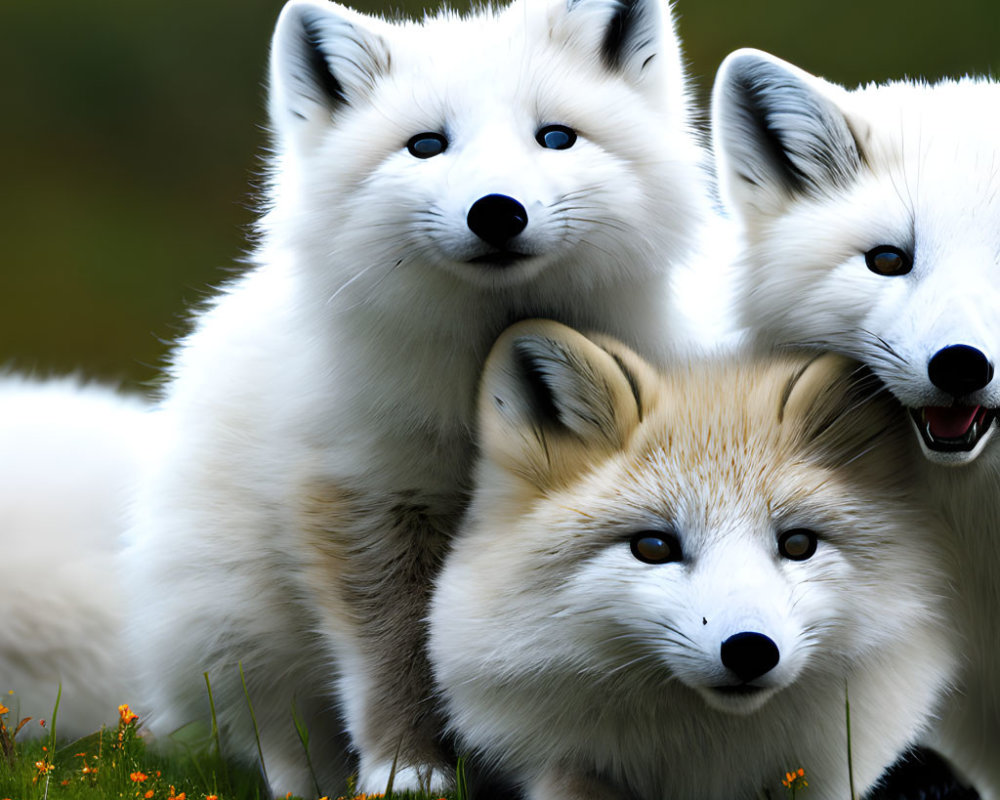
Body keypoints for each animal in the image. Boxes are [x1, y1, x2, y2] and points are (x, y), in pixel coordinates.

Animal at [121, 0, 708, 792]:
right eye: (426, 145)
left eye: (555, 136)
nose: (497, 211)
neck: (479, 381)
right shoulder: (369, 498)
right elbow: (394, 658)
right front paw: (408, 770)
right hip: (232, 627)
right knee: (279, 740)